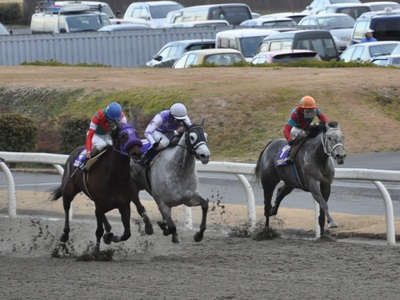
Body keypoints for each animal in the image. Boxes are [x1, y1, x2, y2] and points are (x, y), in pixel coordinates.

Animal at [50, 123, 153, 252]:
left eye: (136, 133)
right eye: (123, 135)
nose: (137, 153)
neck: (115, 177)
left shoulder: (124, 205)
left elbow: (127, 234)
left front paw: (110, 237)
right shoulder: (101, 205)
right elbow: (99, 231)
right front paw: (96, 251)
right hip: (69, 190)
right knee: (67, 207)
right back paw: (65, 234)